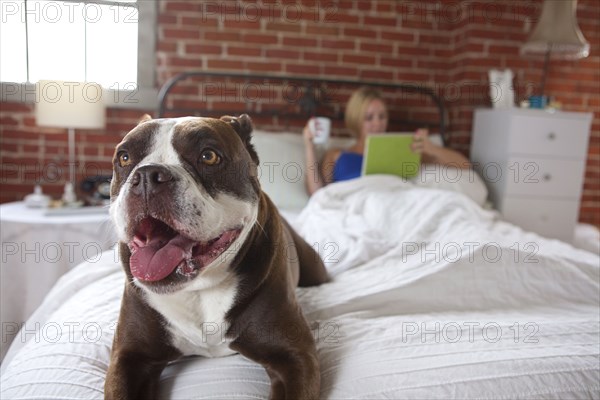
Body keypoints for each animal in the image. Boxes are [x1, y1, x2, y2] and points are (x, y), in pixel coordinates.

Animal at [103, 114, 328, 398]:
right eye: (124, 158)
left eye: (209, 156)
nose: (146, 176)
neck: (199, 290)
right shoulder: (129, 357)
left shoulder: (296, 356)